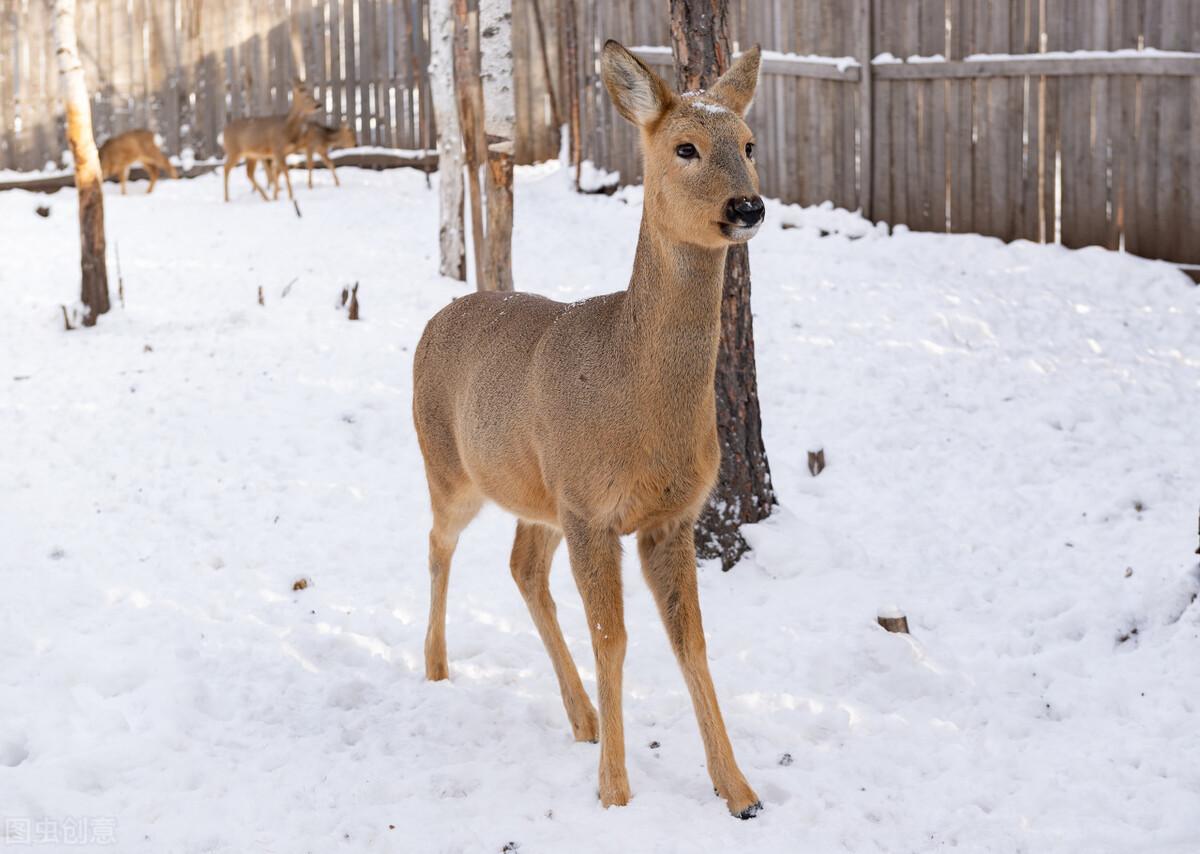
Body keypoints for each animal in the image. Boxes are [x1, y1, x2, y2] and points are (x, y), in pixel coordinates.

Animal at [412, 41, 768, 820]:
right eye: (685, 147)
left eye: (750, 144)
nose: (748, 205)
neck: (638, 400)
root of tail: (435, 318)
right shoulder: (591, 508)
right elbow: (615, 640)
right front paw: (615, 792)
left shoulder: (670, 517)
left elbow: (691, 643)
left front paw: (739, 791)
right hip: (450, 467)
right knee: (438, 544)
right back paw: (436, 666)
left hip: (537, 492)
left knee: (521, 566)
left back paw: (583, 716)